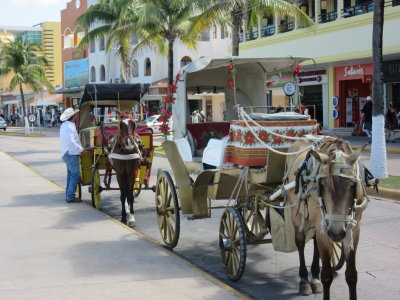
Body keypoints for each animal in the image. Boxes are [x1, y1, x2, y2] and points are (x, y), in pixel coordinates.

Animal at [284, 138, 368, 300]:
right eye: (322, 185)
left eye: (352, 185)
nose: (336, 233)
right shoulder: (323, 227)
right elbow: (327, 275)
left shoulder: (354, 230)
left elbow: (352, 275)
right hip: (298, 215)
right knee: (300, 242)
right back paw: (304, 281)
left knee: (315, 242)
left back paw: (314, 278)